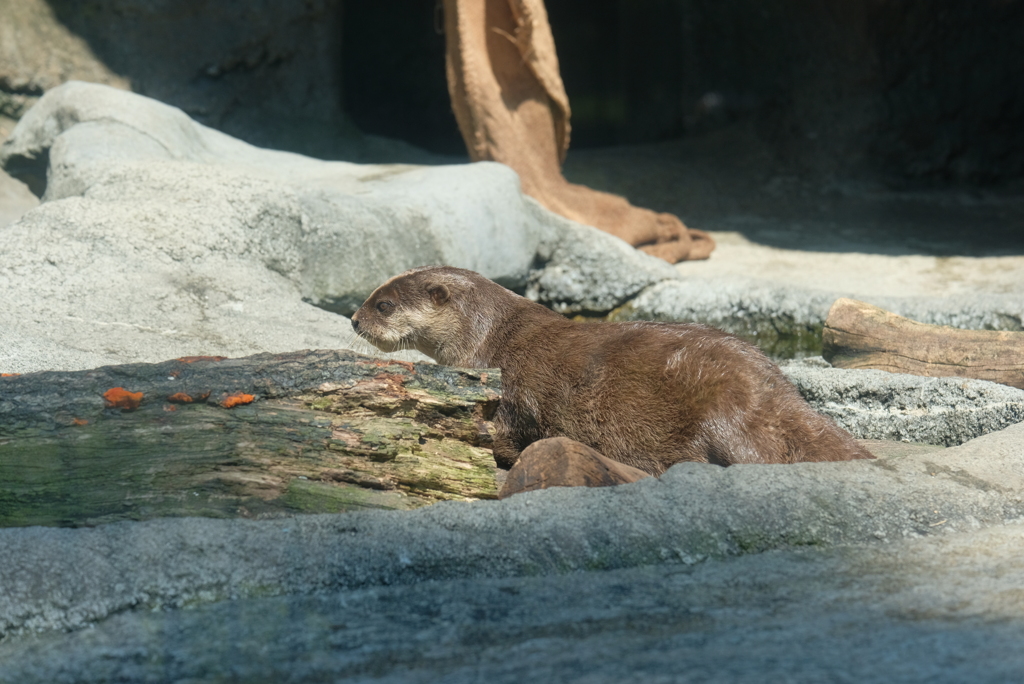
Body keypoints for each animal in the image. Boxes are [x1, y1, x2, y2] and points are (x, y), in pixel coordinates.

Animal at [352, 266, 872, 475]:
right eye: (369, 296)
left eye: (384, 304)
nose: (354, 319)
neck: (490, 339)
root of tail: (774, 393)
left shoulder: (507, 392)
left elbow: (505, 432)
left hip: (723, 410)